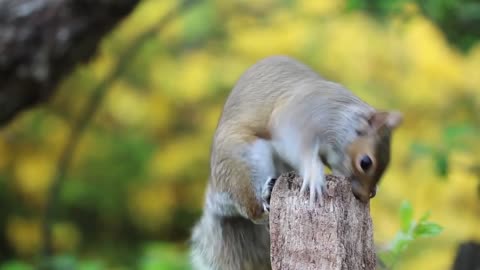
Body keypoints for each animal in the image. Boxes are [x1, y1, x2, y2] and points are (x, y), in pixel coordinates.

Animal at [189, 55, 404, 270]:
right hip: (243, 163)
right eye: (365, 162)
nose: (365, 196)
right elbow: (302, 149)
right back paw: (265, 198)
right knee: (253, 210)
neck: (340, 118)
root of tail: (216, 193)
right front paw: (314, 175)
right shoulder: (297, 118)